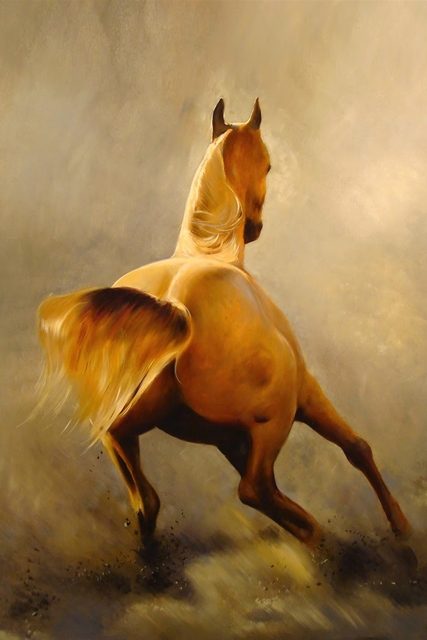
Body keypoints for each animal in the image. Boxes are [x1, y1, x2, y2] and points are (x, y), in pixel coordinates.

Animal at [37, 99, 411, 549]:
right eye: (268, 164)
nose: (254, 228)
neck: (208, 253)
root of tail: (177, 305)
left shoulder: (227, 437)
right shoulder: (303, 392)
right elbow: (357, 447)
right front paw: (401, 526)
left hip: (133, 414)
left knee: (137, 479)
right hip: (275, 418)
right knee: (254, 488)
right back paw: (317, 535)